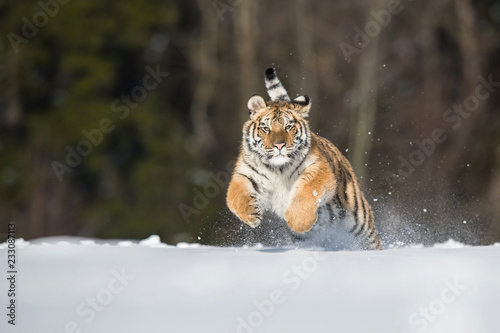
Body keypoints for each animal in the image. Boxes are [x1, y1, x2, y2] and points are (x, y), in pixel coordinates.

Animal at [227, 67, 382, 249]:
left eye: (288, 126)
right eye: (266, 128)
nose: (279, 145)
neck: (277, 168)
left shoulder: (318, 169)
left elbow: (306, 192)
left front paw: (299, 222)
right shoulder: (245, 174)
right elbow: (234, 196)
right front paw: (251, 215)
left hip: (359, 224)